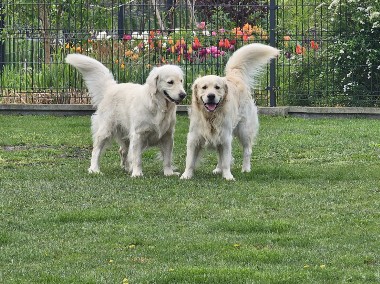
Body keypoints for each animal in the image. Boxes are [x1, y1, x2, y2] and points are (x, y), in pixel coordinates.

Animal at [181, 43, 280, 181]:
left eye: (217, 87)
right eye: (204, 87)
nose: (211, 96)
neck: (211, 117)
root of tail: (234, 76)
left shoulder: (226, 138)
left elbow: (226, 160)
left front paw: (228, 176)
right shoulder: (194, 137)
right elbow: (190, 160)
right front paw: (186, 175)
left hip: (244, 130)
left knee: (247, 150)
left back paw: (245, 168)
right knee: (220, 154)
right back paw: (218, 169)